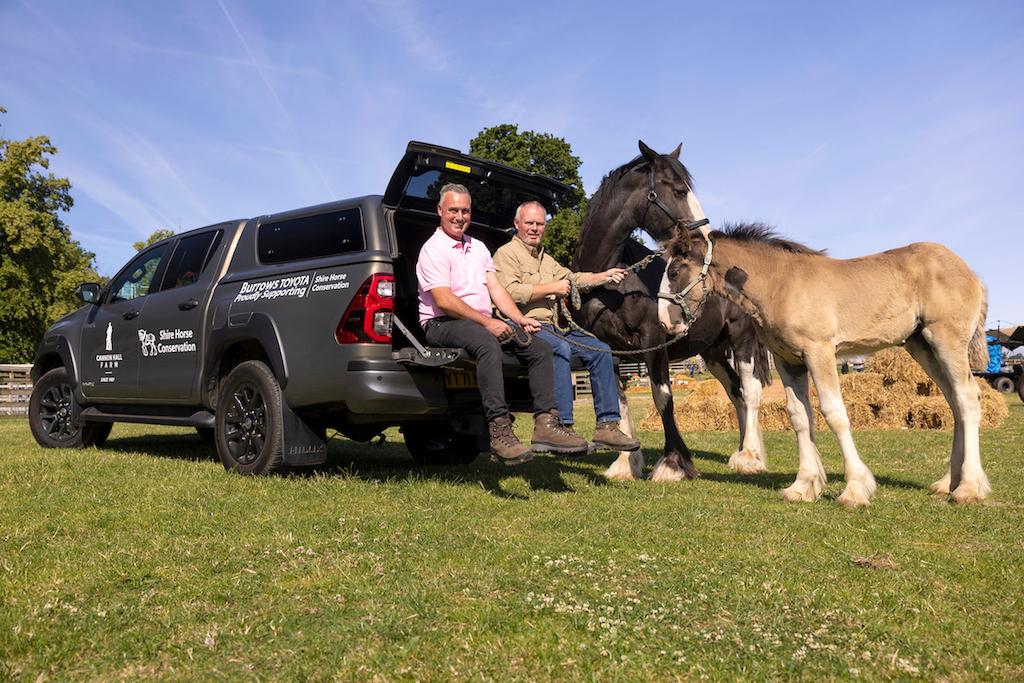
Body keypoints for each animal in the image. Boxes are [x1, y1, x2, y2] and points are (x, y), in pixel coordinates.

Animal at [573, 140, 765, 481]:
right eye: (678, 190)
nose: (705, 240)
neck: (611, 281)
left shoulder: (653, 341)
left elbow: (663, 397)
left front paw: (673, 463)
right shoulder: (609, 349)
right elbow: (620, 399)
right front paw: (625, 463)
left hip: (743, 338)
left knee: (751, 390)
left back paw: (751, 457)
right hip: (713, 352)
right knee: (736, 393)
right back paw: (741, 453)